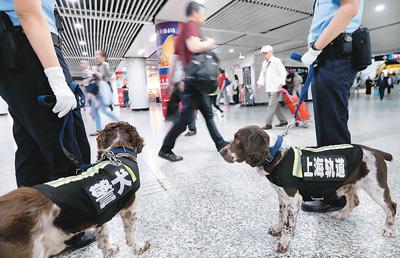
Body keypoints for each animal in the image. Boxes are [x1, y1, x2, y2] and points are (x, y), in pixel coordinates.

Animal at [0, 122, 150, 256]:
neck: (118, 153)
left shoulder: (102, 214)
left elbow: (104, 237)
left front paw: (110, 250)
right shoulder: (129, 210)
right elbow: (130, 234)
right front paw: (139, 247)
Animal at [220, 126, 396, 253]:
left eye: (237, 139)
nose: (221, 152)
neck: (275, 155)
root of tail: (377, 152)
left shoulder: (293, 200)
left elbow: (288, 225)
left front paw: (283, 244)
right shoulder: (282, 197)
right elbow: (281, 216)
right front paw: (277, 229)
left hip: (376, 187)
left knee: (391, 206)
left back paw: (389, 229)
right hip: (348, 183)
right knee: (354, 201)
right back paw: (340, 214)